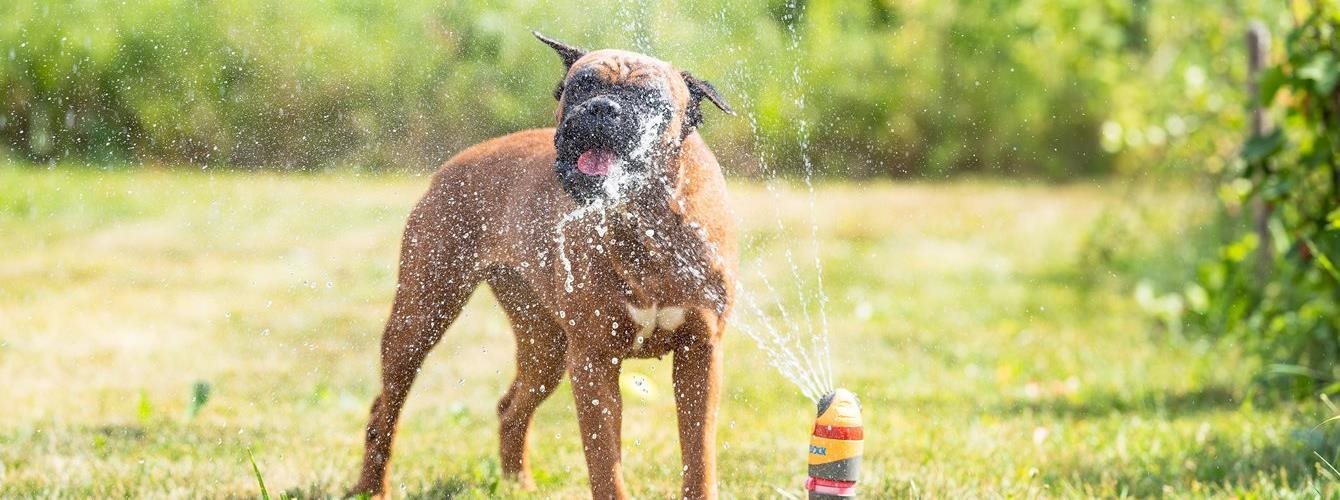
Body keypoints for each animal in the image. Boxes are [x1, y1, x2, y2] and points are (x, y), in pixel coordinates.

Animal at [351, 33, 739, 495]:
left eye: (650, 98)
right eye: (581, 86)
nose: (602, 107)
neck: (642, 218)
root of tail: (455, 162)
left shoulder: (701, 354)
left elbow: (698, 456)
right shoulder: (592, 360)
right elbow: (604, 463)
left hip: (545, 349)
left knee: (510, 407)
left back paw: (517, 483)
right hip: (420, 317)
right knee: (384, 409)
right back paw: (371, 488)